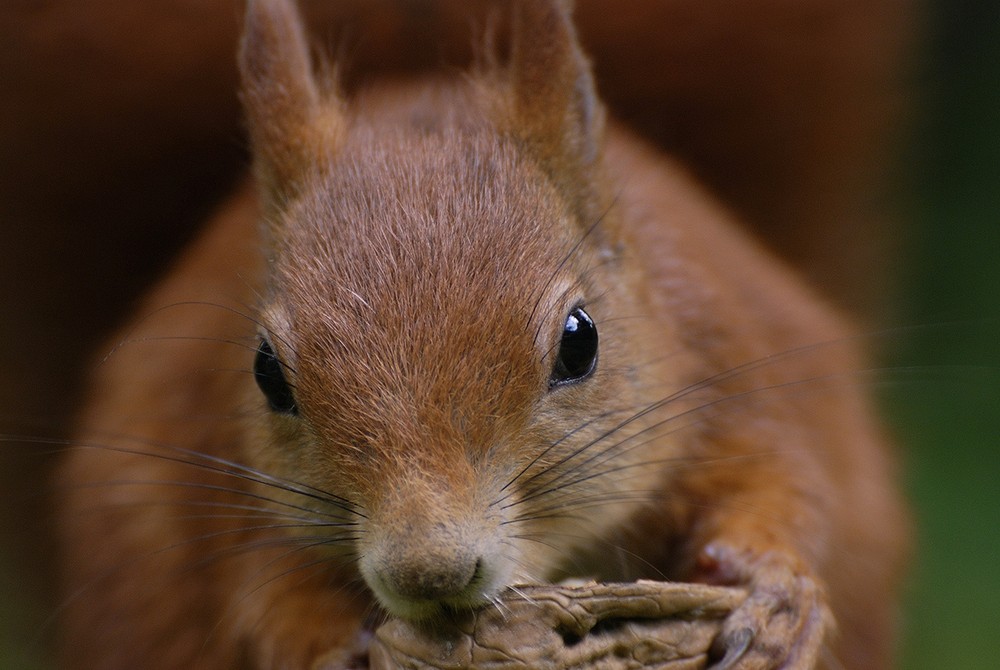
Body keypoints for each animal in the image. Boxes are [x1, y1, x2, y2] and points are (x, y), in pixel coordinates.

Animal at [58, 0, 912, 668]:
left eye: (580, 341)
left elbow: (781, 485)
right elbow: (260, 593)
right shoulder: (222, 469)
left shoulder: (730, 366)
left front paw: (776, 591)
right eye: (266, 373)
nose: (428, 572)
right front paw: (325, 643)